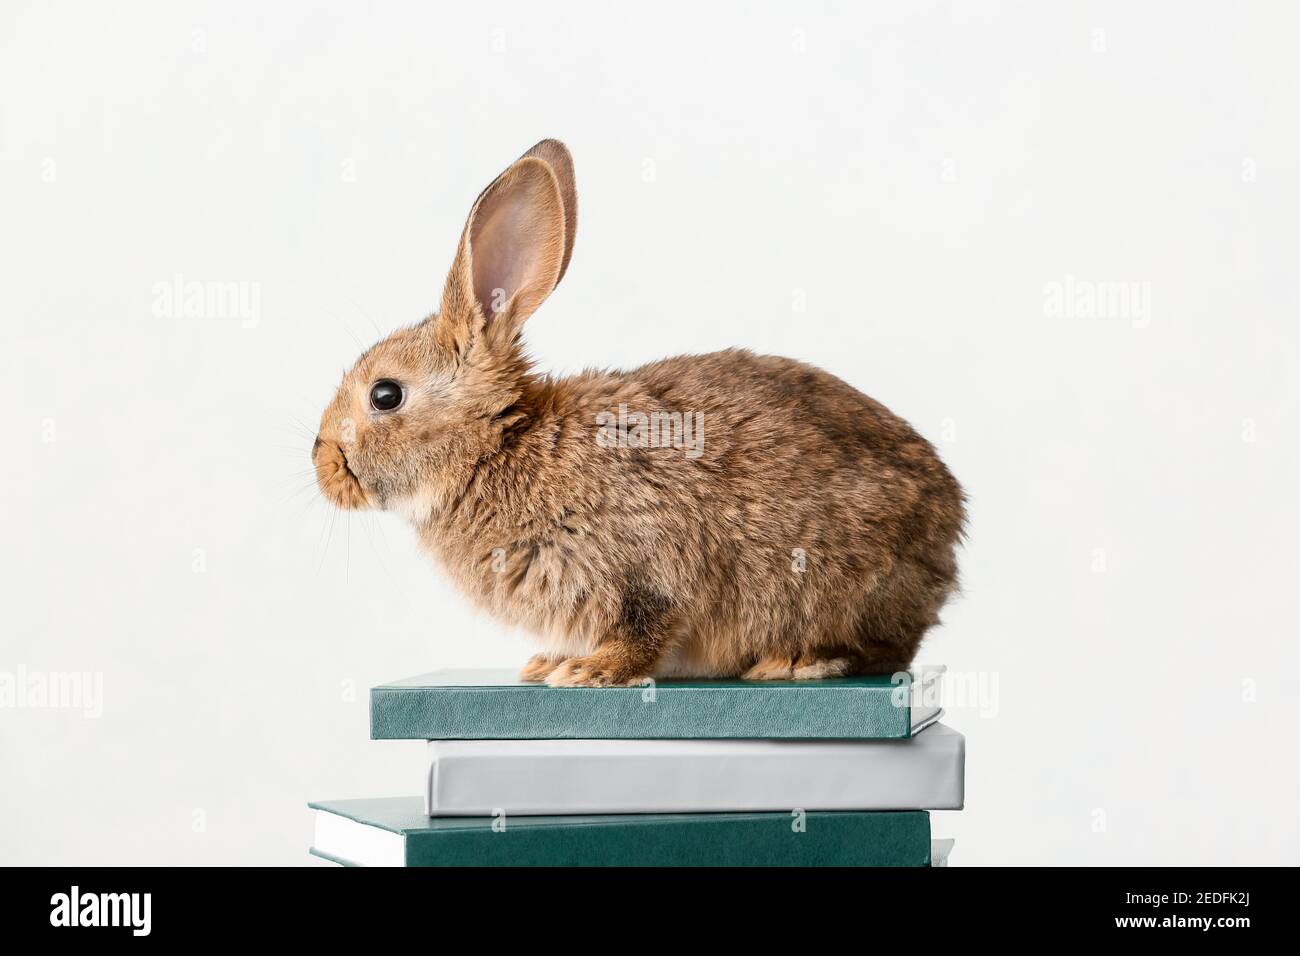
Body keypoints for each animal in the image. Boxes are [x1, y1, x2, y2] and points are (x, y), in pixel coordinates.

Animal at [312, 139, 966, 687]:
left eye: (385, 395)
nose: (321, 464)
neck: (499, 445)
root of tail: (949, 526)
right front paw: (551, 663)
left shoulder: (642, 569)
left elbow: (644, 628)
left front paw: (589, 673)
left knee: (890, 649)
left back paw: (798, 661)